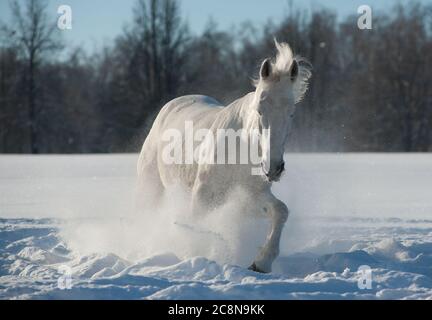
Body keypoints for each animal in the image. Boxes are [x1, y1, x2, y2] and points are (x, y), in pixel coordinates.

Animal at [138, 40, 310, 272]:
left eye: (291, 112)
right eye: (260, 110)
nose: (273, 168)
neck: (239, 153)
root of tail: (170, 106)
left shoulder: (249, 197)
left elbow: (281, 211)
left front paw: (261, 262)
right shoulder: (201, 197)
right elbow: (195, 227)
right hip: (151, 189)